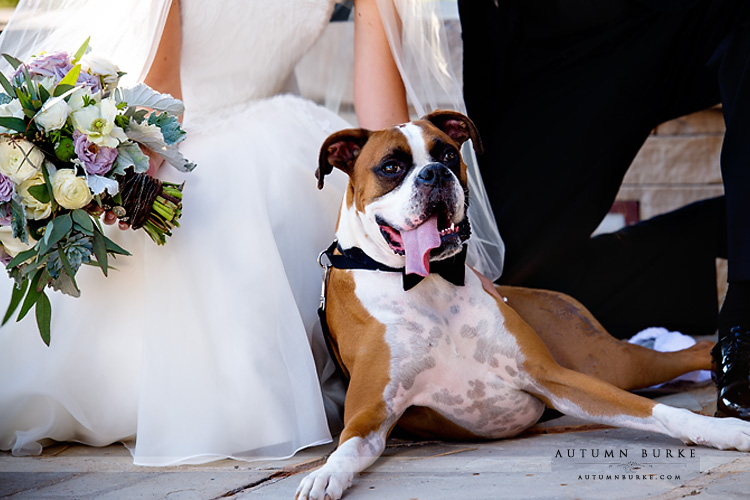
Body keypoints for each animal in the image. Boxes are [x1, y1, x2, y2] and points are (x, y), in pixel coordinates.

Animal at [296, 111, 748, 500]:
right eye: (391, 167)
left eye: (448, 154)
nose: (435, 173)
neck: (431, 282)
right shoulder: (369, 415)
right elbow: (345, 448)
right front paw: (323, 475)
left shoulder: (555, 377)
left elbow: (657, 411)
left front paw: (727, 432)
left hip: (611, 364)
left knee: (691, 350)